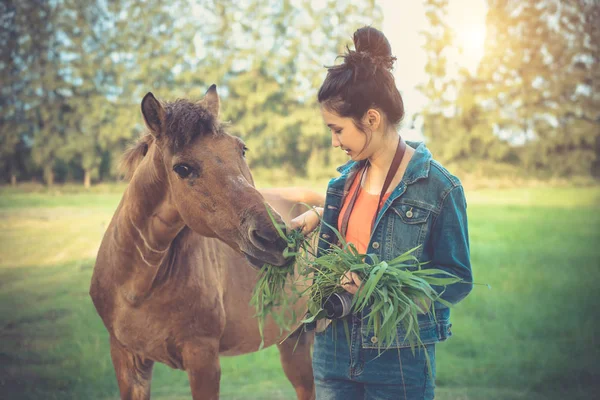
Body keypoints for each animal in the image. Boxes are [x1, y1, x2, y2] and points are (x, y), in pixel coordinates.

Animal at [89, 86, 322, 400]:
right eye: (182, 168)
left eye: (241, 149)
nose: (275, 239)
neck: (136, 287)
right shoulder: (127, 361)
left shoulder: (203, 360)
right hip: (294, 340)